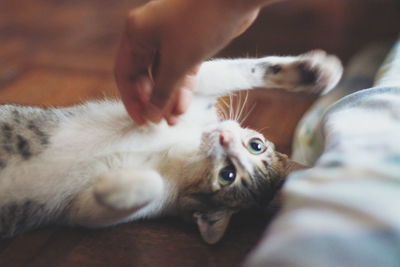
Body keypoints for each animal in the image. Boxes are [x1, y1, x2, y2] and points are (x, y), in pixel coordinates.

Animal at [0, 49, 342, 245]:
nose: (224, 138)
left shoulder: (82, 209)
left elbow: (104, 204)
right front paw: (314, 72)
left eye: (227, 175)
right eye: (256, 145)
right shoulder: (191, 98)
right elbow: (221, 71)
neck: (179, 153)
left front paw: (111, 186)